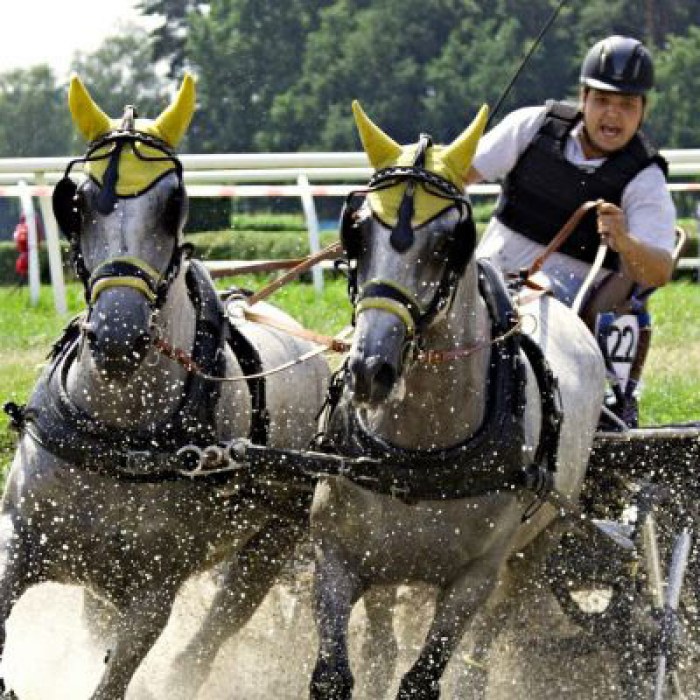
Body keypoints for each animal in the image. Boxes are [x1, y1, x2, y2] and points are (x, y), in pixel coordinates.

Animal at [0, 74, 328, 696]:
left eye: (174, 204)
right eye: (73, 203)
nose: (119, 335)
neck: (118, 432)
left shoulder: (153, 592)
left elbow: (115, 677)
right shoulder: (20, 543)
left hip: (269, 547)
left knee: (202, 648)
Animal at [308, 104, 604, 700]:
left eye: (450, 241)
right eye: (357, 232)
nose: (371, 369)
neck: (422, 445)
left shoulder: (474, 579)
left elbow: (423, 678)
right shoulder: (337, 556)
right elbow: (335, 674)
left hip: (534, 550)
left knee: (485, 645)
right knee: (382, 643)